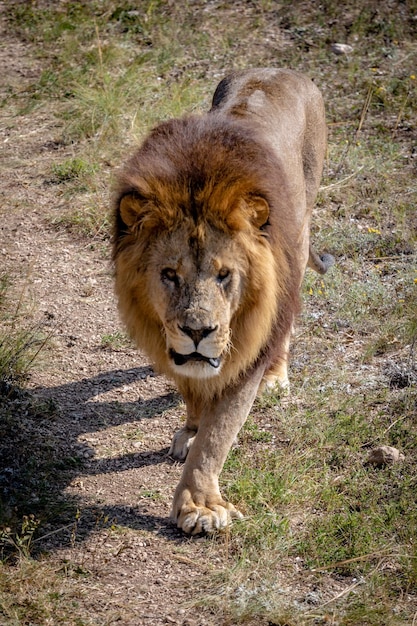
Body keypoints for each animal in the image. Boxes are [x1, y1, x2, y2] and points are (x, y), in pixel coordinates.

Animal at [112, 70, 334, 532]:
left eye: (224, 274)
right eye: (169, 274)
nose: (198, 330)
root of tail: (281, 70)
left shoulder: (246, 350)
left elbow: (219, 435)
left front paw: (198, 505)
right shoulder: (176, 348)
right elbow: (193, 395)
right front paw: (191, 427)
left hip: (302, 230)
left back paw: (277, 376)